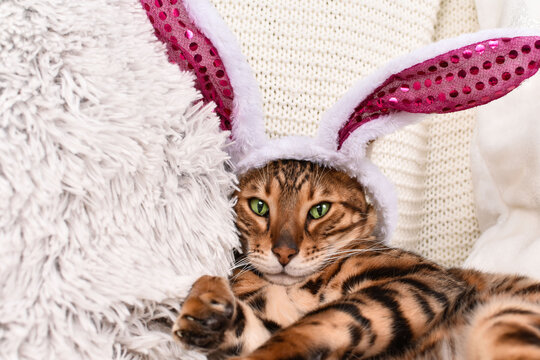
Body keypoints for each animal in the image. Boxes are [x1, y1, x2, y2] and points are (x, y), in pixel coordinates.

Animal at [172, 161, 540, 360]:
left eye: (319, 210)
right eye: (259, 206)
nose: (284, 253)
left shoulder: (423, 282)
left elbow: (319, 322)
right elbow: (257, 325)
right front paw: (207, 302)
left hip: (505, 316)